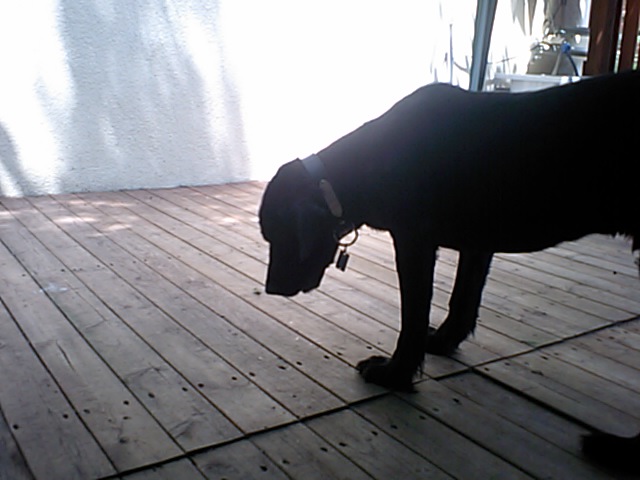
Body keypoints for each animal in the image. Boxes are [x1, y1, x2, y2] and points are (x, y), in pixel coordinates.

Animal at [259, 71, 640, 472]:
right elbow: (462, 300)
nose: (271, 289)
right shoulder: (478, 243)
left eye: (279, 235)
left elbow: (413, 317)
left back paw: (619, 450)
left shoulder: (413, 240)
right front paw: (442, 341)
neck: (371, 159)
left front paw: (395, 373)